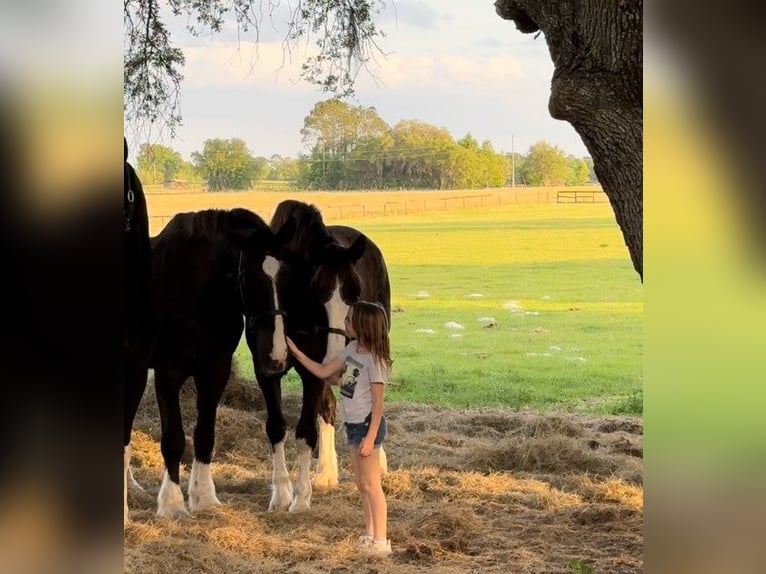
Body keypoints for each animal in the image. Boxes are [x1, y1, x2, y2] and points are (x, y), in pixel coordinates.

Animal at [148, 209, 296, 520]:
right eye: (250, 278)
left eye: (288, 276)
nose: (277, 355)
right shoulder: (168, 373)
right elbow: (173, 439)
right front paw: (172, 504)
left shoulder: (215, 370)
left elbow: (205, 434)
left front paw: (203, 497)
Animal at [238, 201, 390, 512]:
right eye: (249, 278)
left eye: (355, 293)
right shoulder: (266, 370)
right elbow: (277, 427)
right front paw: (282, 493)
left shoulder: (313, 372)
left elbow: (305, 431)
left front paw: (300, 497)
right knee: (329, 408)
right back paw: (326, 472)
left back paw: (377, 461)